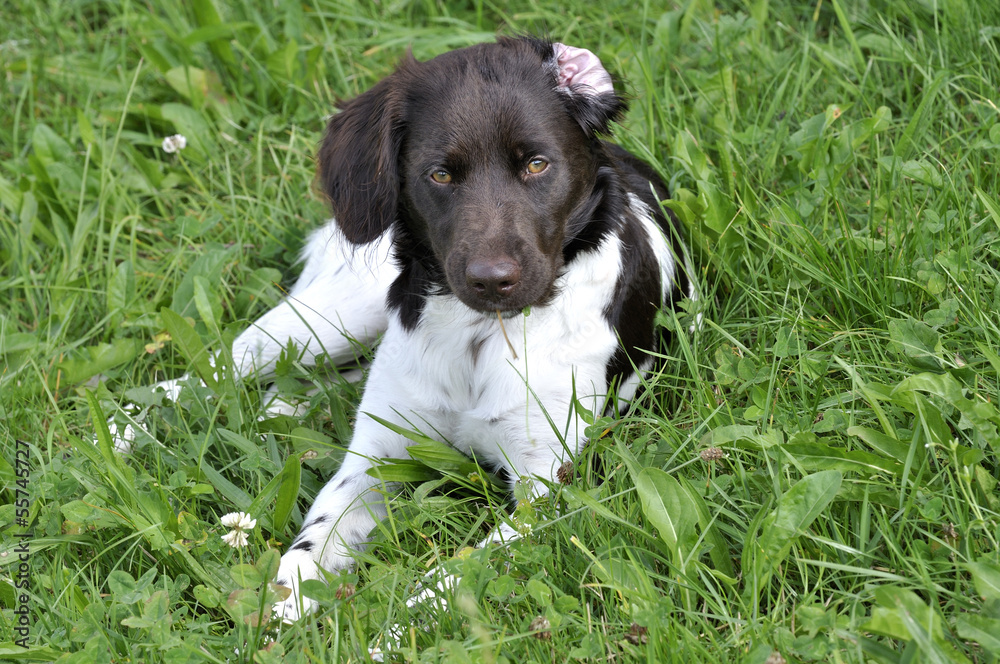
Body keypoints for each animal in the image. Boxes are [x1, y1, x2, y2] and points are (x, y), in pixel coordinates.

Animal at [121, 36, 696, 620]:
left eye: (537, 164)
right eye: (439, 174)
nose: (492, 281)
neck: (480, 336)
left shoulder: (548, 488)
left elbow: (458, 574)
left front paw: (393, 627)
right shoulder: (374, 457)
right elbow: (311, 544)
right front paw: (281, 609)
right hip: (326, 320)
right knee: (202, 378)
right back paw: (122, 434)